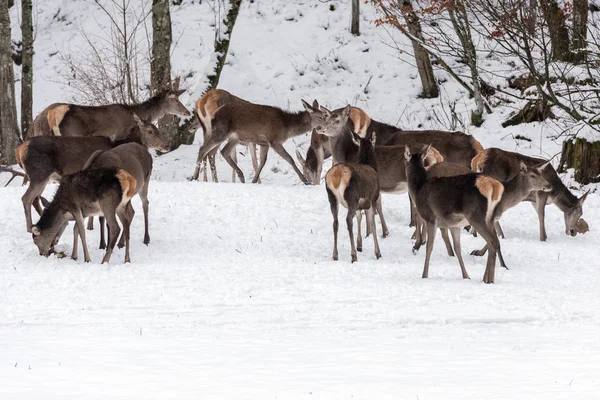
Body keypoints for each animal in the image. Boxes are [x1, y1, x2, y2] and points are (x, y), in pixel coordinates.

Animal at [17, 113, 166, 234]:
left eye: (158, 129)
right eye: (150, 131)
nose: (165, 146)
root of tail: (19, 150)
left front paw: (89, 225)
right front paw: (90, 226)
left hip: (42, 177)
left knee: (35, 199)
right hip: (39, 174)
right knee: (26, 198)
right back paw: (29, 228)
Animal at [191, 90, 324, 184]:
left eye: (324, 115)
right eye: (321, 117)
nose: (324, 127)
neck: (287, 127)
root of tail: (214, 115)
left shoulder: (264, 143)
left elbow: (262, 161)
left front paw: (254, 180)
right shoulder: (273, 139)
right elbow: (289, 158)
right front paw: (305, 181)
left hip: (233, 137)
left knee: (221, 152)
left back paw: (240, 175)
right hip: (220, 132)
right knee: (203, 149)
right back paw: (194, 176)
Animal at [326, 130, 382, 262]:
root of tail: (337, 175)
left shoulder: (359, 205)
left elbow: (359, 218)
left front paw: (359, 245)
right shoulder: (372, 199)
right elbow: (372, 225)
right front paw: (378, 253)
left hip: (332, 197)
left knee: (335, 222)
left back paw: (335, 254)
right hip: (352, 196)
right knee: (348, 220)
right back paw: (353, 255)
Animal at [406, 145, 504, 282]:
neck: (418, 190)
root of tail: (495, 187)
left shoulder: (431, 218)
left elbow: (429, 247)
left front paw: (424, 275)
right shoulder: (454, 225)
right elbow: (457, 249)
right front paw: (466, 276)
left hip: (476, 216)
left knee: (493, 240)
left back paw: (489, 279)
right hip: (490, 218)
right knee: (494, 240)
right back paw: (485, 277)